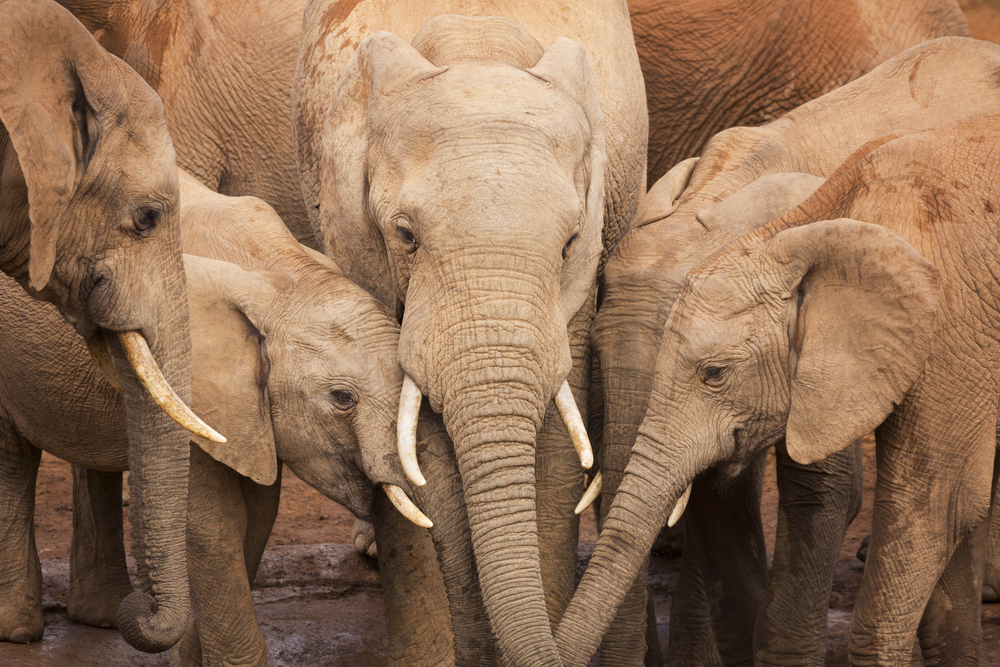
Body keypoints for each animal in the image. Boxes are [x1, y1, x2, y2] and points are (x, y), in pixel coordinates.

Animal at [3, 168, 423, 666]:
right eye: (342, 399)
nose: (143, 609)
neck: (281, 277)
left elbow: (257, 514)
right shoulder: (195, 390)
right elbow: (210, 525)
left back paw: (104, 615)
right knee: (11, 460)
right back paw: (19, 630)